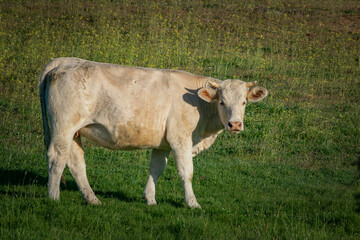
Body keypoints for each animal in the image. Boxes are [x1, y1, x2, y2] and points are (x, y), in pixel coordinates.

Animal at [39, 57, 268, 208]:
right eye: (221, 102)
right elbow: (186, 172)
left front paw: (149, 198)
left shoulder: (163, 142)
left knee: (75, 162)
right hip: (63, 126)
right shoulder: (180, 138)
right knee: (57, 157)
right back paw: (53, 197)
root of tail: (63, 61)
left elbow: (156, 168)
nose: (235, 124)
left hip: (74, 132)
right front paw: (192, 203)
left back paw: (92, 199)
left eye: (244, 102)